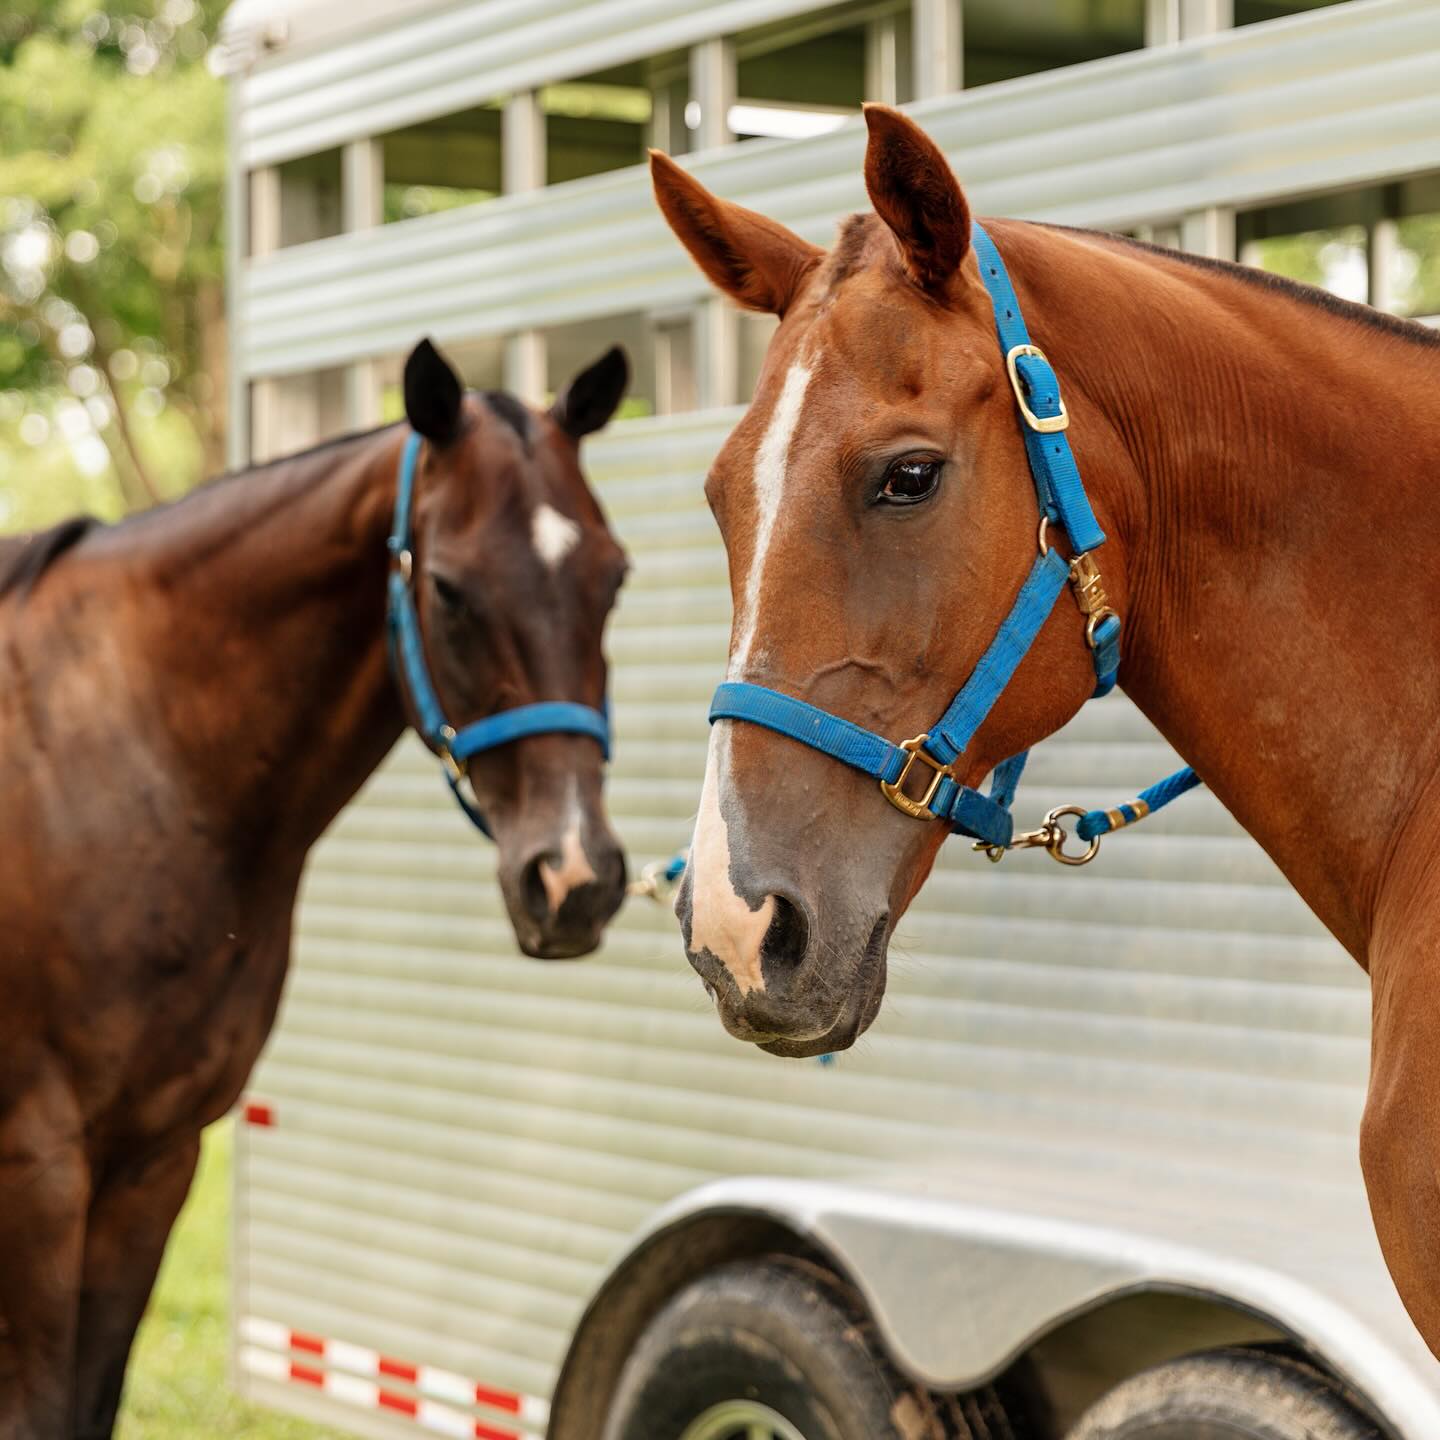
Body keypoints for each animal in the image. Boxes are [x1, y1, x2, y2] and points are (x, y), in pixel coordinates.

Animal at [0, 336, 630, 1438]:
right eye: (450, 591)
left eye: (615, 578)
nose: (575, 877)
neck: (123, 756)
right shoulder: (40, 1168)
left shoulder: (154, 1161)